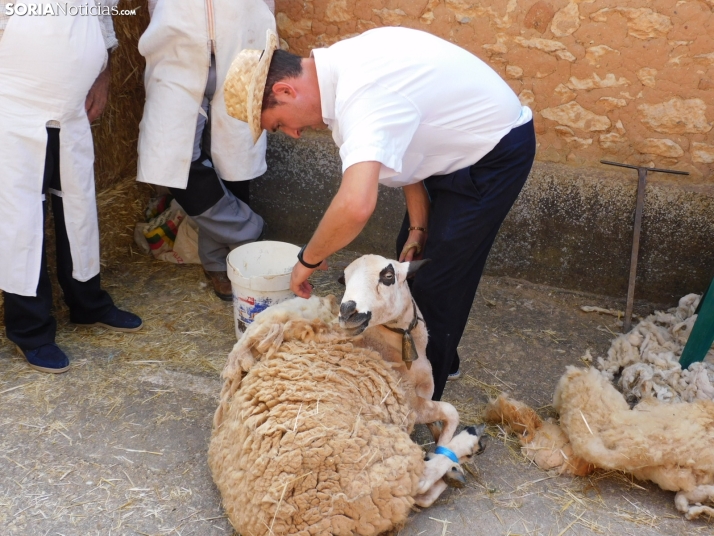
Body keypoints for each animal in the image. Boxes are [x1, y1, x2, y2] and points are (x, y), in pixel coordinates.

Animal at [207, 292, 484, 532]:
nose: (335, 299)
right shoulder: (408, 400)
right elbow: (451, 411)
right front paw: (450, 442)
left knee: (421, 495)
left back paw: (453, 471)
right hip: (385, 461)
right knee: (422, 479)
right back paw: (467, 444)